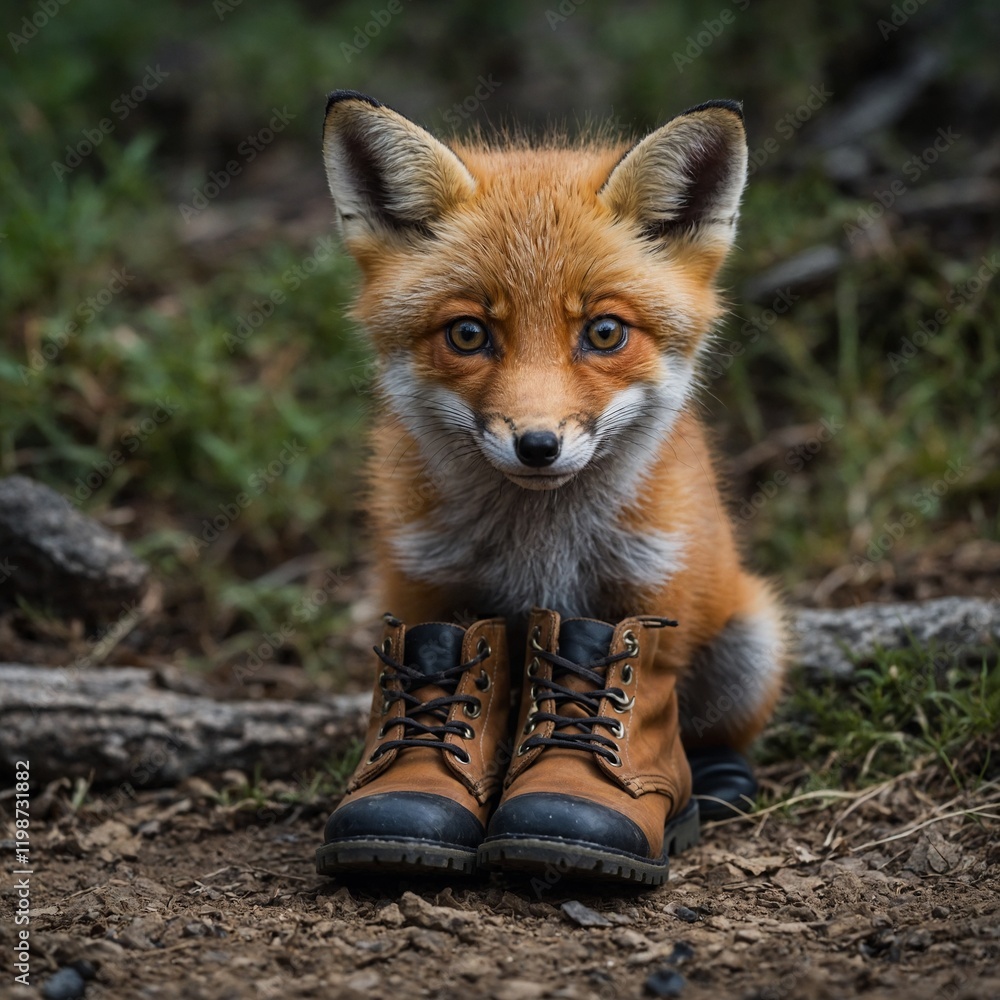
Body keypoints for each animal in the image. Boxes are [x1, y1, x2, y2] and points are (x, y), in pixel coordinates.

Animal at [321, 91, 788, 757]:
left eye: (605, 332)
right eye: (468, 334)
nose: (537, 445)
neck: (541, 554)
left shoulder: (654, 589)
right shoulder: (421, 587)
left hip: (748, 652)